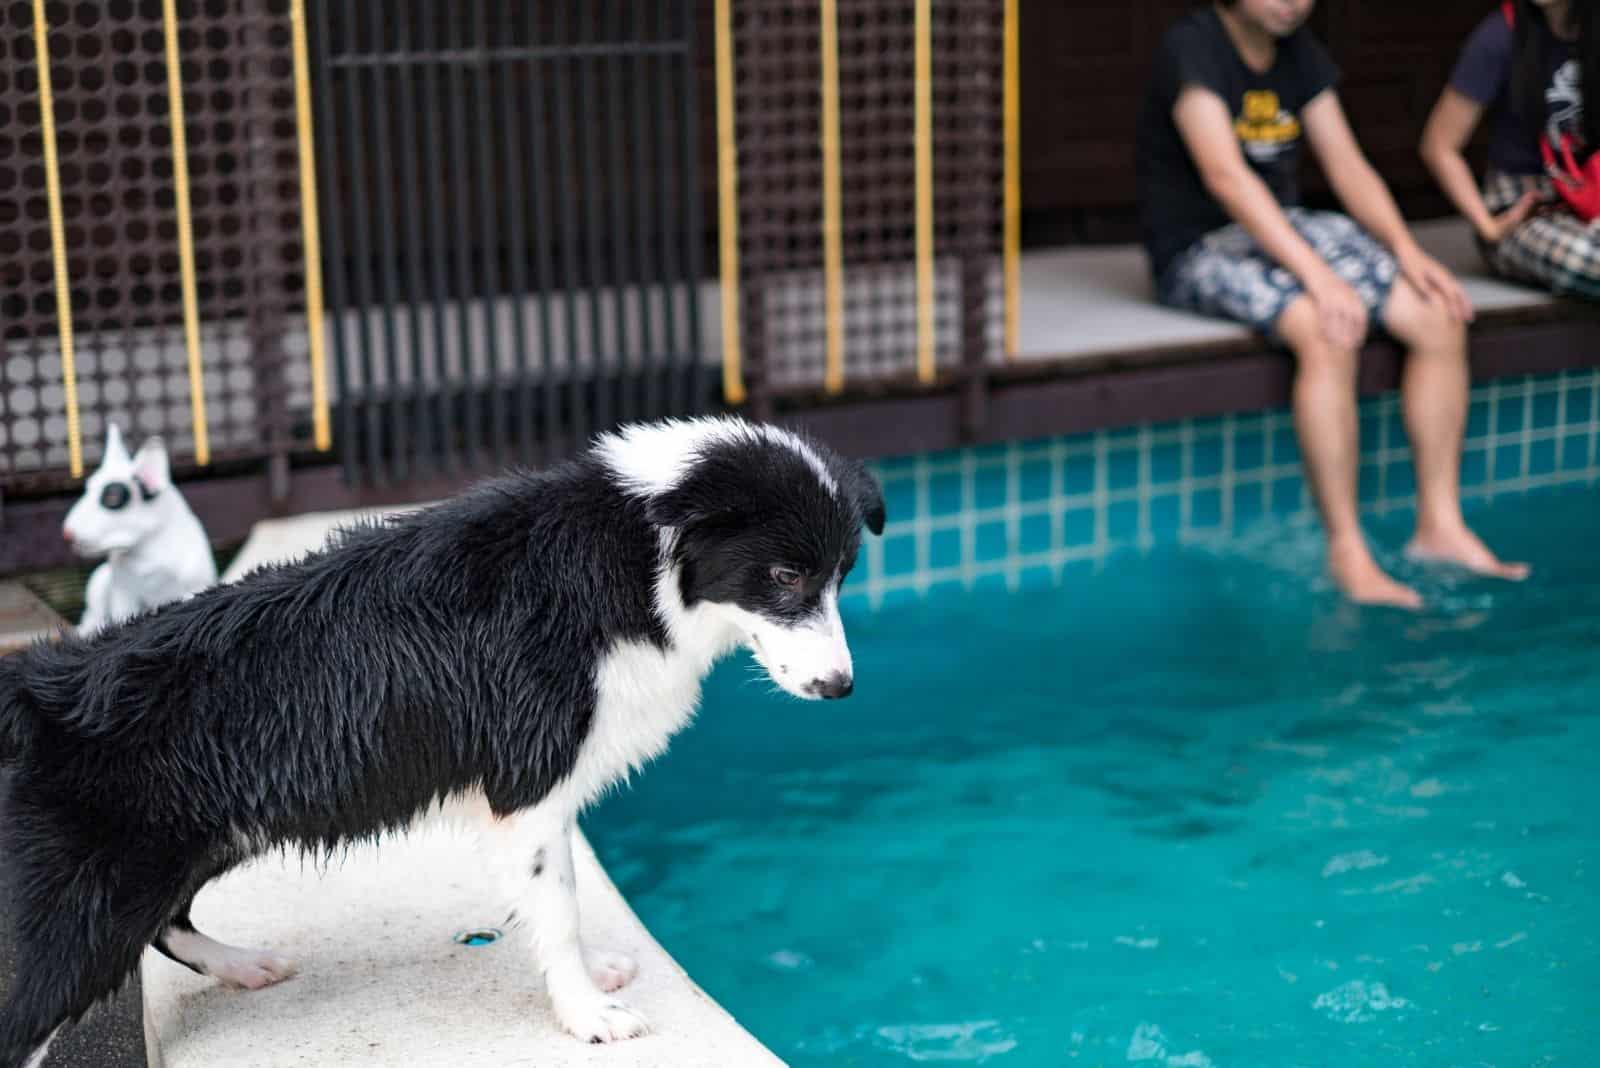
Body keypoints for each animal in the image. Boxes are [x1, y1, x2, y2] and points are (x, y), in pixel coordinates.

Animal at [0, 412, 889, 1061]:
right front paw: (587, 1015)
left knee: (169, 923)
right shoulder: (528, 784)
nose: (842, 689)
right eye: (786, 577)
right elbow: (559, 904)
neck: (638, 561)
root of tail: (32, 689)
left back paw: (244, 966)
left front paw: (591, 976)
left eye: (841, 575)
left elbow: (556, 900)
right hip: (73, 920)